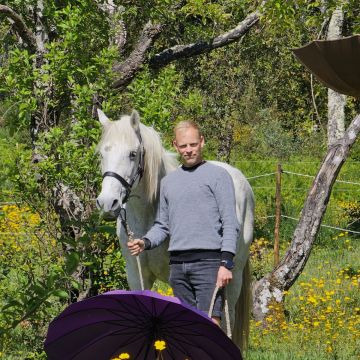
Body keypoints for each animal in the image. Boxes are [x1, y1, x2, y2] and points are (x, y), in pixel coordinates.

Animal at [94, 109, 255, 352]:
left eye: (132, 154)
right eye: (103, 153)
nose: (107, 203)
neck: (149, 215)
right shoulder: (137, 275)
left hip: (232, 276)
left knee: (227, 318)